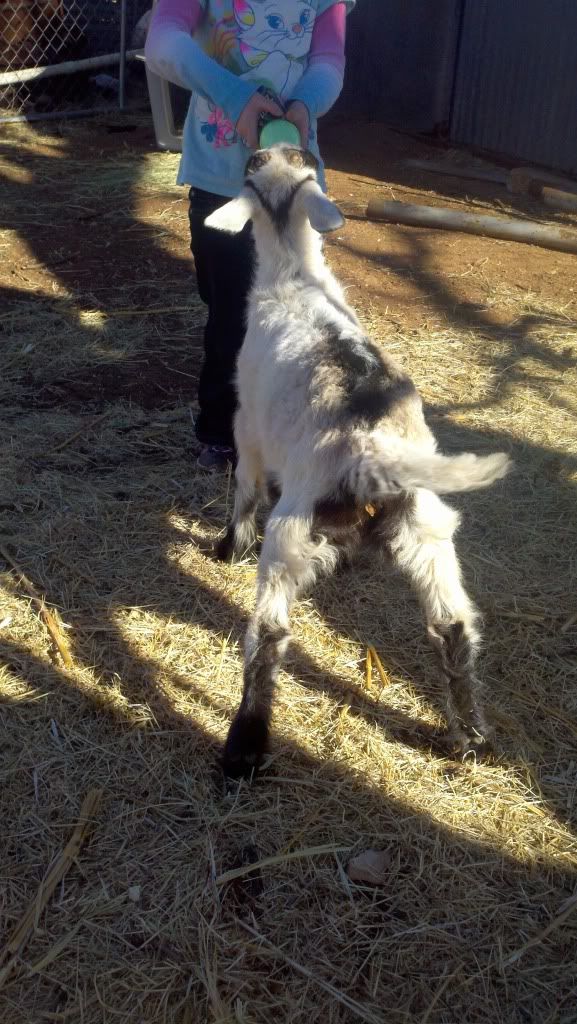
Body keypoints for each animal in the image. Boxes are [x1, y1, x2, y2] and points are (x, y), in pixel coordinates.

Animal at [205, 145, 511, 779]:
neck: (295, 275)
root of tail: (372, 448)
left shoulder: (247, 424)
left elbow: (244, 487)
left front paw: (226, 548)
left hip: (291, 533)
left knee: (269, 635)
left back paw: (244, 747)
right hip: (428, 531)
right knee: (452, 627)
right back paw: (473, 739)